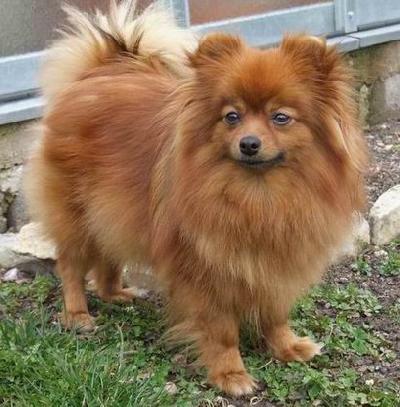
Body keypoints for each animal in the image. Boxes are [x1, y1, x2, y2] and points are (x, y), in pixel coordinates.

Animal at [25, 0, 368, 395]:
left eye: (280, 118)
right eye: (232, 117)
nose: (249, 143)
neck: (259, 195)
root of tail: (99, 71)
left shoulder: (278, 264)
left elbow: (275, 314)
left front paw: (286, 346)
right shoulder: (205, 273)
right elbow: (221, 331)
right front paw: (230, 374)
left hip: (111, 210)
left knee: (108, 256)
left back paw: (116, 294)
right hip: (77, 217)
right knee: (70, 266)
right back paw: (77, 314)